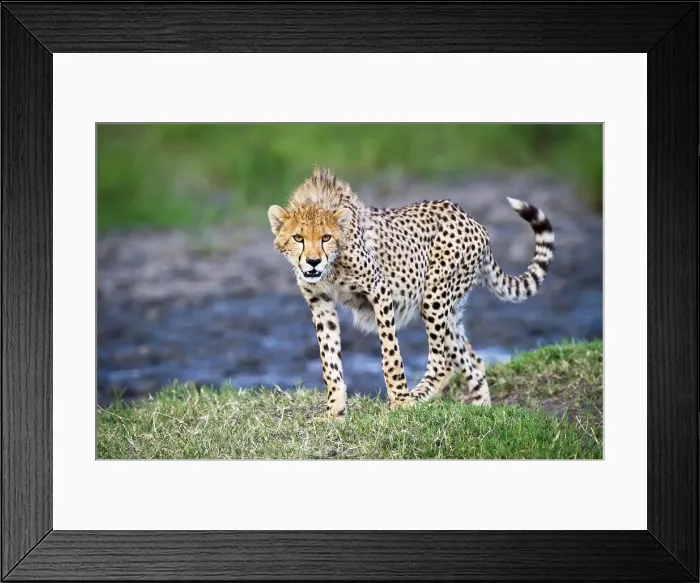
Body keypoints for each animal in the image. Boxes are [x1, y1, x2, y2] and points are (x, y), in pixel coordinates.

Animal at [268, 167, 555, 420]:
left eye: (326, 237)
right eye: (298, 238)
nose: (313, 262)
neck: (332, 267)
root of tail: (470, 218)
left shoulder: (380, 291)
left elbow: (391, 355)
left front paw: (399, 400)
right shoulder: (321, 302)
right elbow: (329, 361)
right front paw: (334, 413)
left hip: (434, 296)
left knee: (443, 361)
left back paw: (414, 397)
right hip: (452, 311)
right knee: (472, 358)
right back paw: (481, 411)